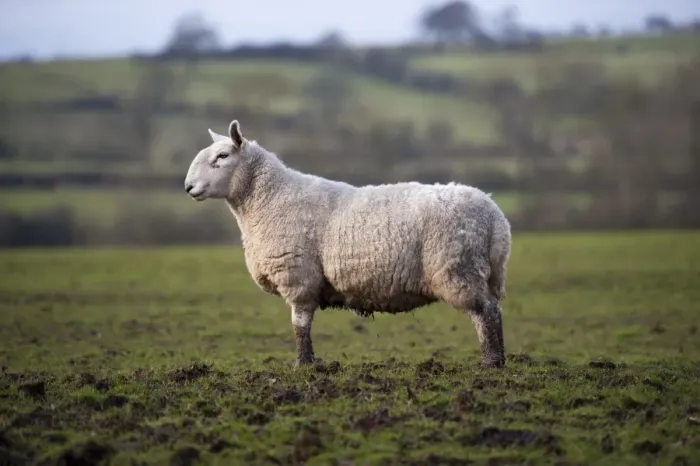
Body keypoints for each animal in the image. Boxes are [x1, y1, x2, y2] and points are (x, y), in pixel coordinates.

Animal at [184, 119, 511, 369]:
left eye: (222, 156)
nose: (188, 187)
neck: (269, 199)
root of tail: (495, 215)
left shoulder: (298, 276)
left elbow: (300, 324)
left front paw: (304, 365)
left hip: (458, 269)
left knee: (485, 314)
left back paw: (491, 363)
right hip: (481, 273)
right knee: (495, 310)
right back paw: (500, 360)